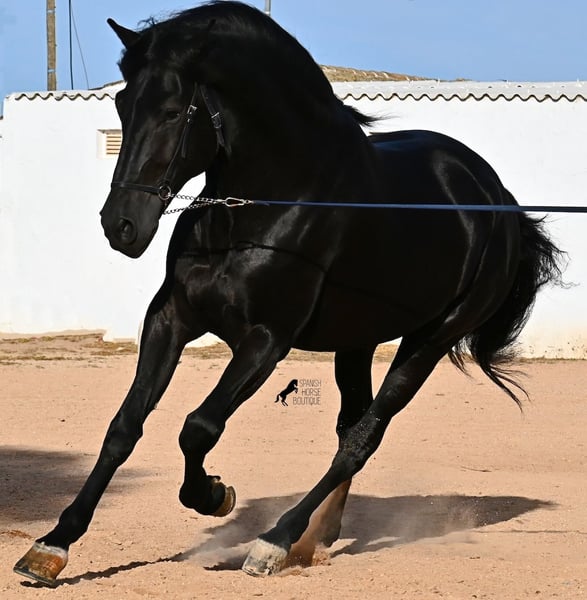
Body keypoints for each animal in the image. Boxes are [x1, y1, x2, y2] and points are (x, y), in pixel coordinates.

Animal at [14, 0, 563, 586]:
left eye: (172, 110)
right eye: (122, 103)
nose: (121, 226)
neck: (263, 206)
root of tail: (497, 197)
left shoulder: (266, 340)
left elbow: (198, 428)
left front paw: (213, 495)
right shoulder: (171, 319)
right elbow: (124, 427)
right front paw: (53, 545)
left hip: (430, 341)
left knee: (363, 438)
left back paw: (276, 541)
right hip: (357, 340)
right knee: (350, 426)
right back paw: (316, 537)